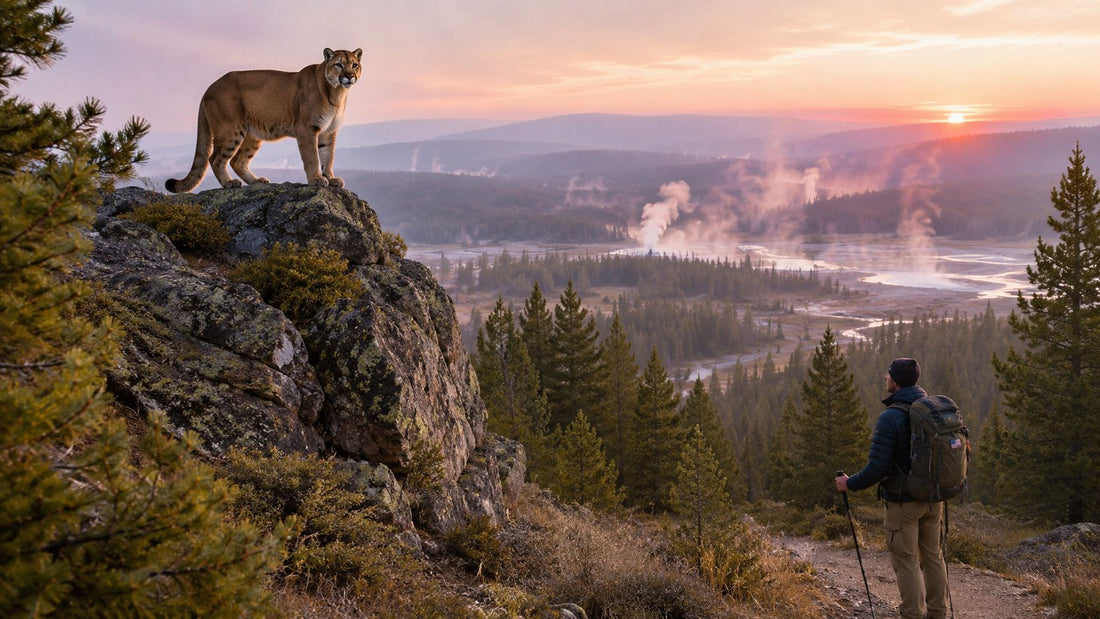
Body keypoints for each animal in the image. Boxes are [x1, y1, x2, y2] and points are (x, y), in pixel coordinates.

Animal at [165, 48, 362, 193]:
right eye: (338, 65)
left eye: (354, 64)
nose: (349, 76)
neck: (336, 93)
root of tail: (209, 88)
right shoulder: (306, 128)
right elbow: (312, 156)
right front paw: (316, 179)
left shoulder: (328, 131)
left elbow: (327, 156)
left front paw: (330, 177)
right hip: (231, 130)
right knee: (215, 158)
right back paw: (229, 183)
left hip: (252, 135)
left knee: (237, 160)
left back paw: (256, 181)